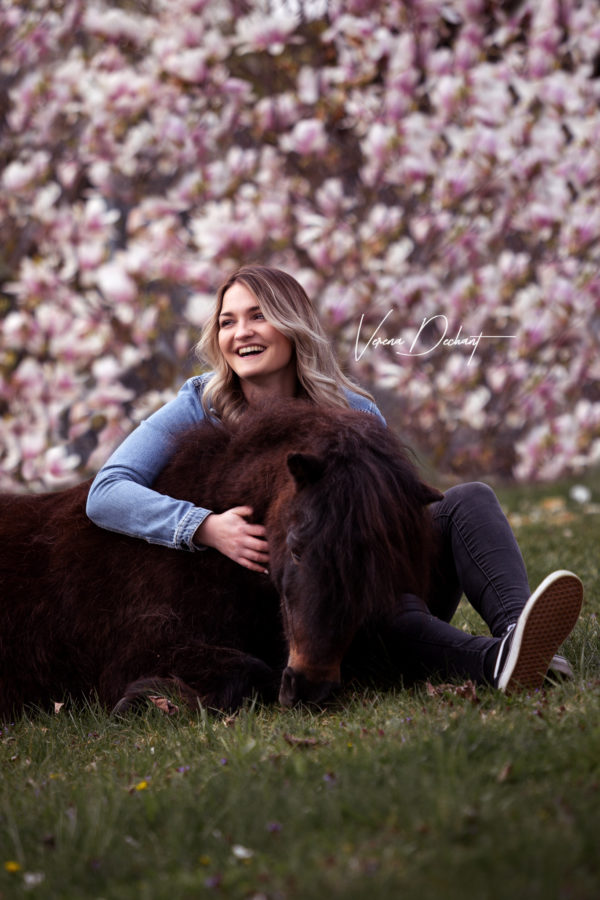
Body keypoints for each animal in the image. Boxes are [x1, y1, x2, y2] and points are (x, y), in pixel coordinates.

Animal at [0, 399, 442, 718]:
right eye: (296, 548)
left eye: (374, 568)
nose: (310, 687)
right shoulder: (139, 650)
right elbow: (249, 671)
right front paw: (147, 702)